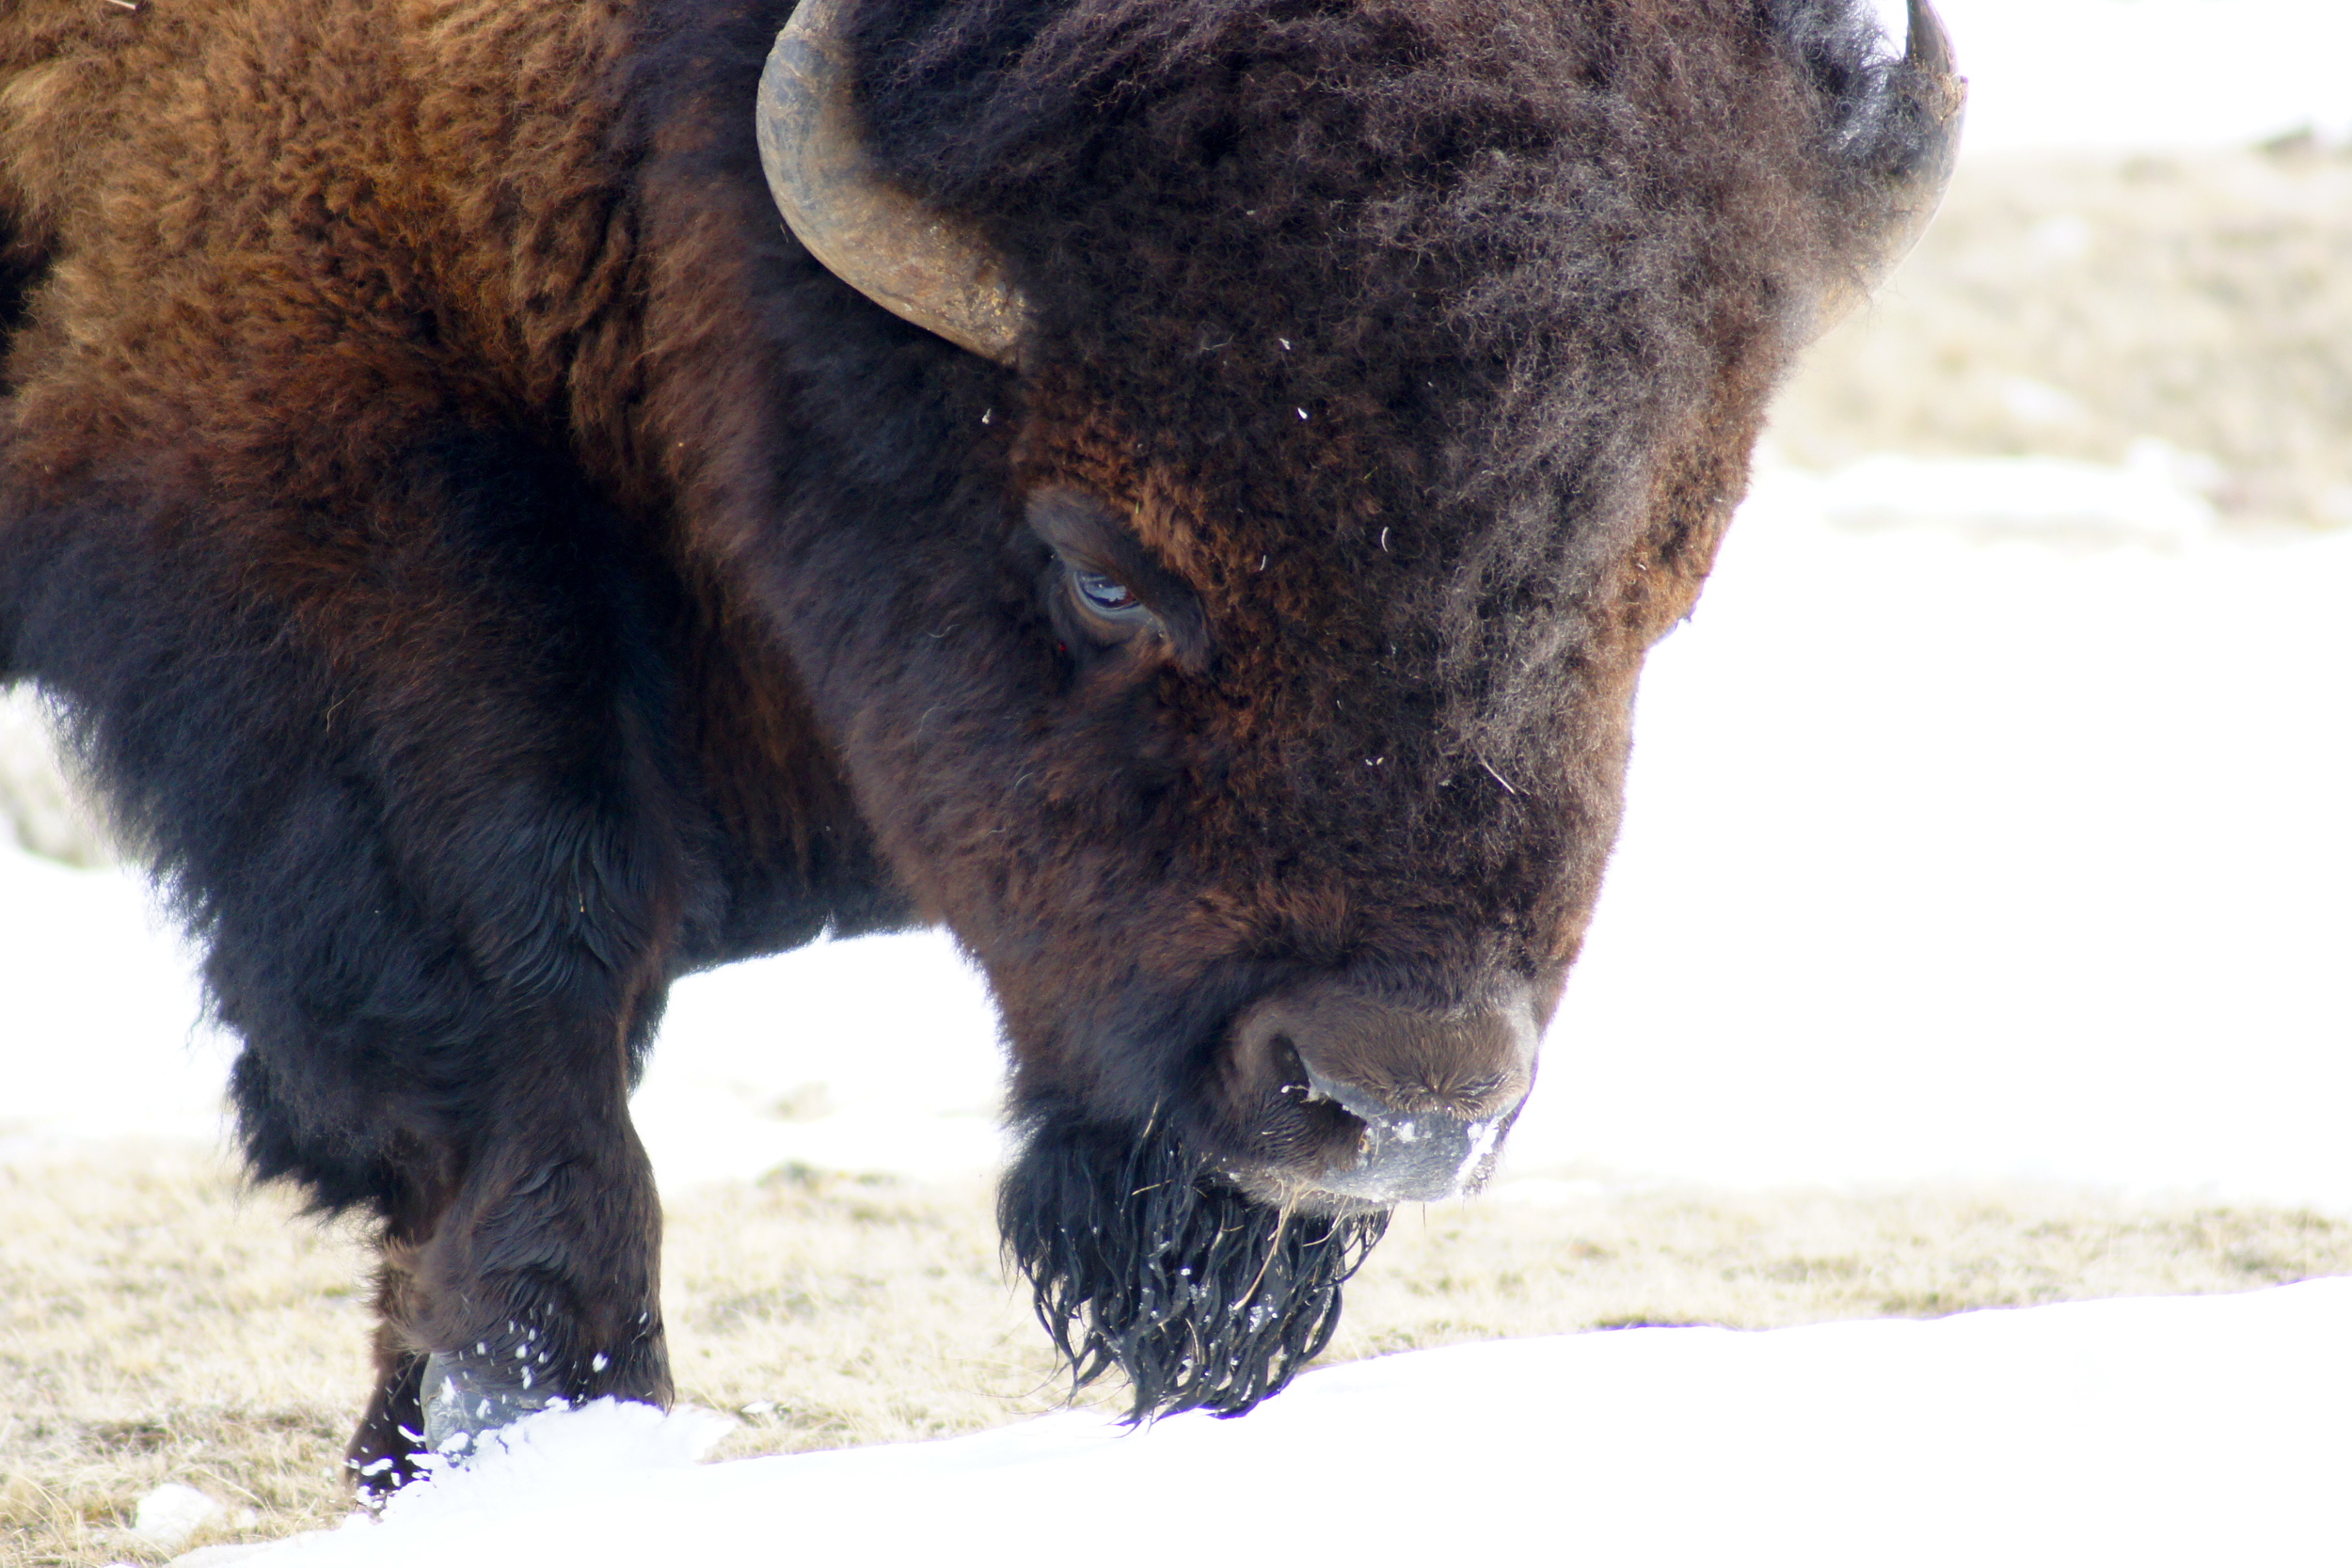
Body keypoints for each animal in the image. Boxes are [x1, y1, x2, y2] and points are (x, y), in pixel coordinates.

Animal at [0, 0, 1959, 1490]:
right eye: (1099, 565)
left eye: (1668, 581)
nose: (1393, 1099)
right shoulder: (309, 454)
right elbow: (520, 1003)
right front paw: (554, 1435)